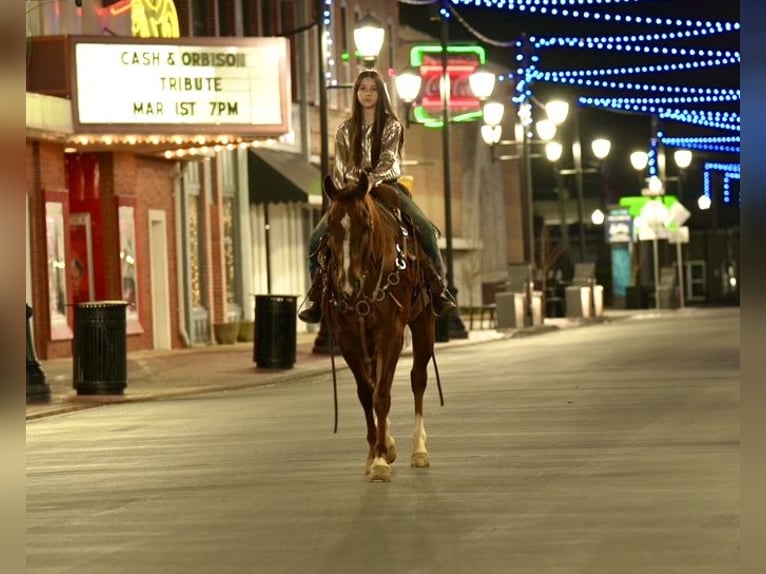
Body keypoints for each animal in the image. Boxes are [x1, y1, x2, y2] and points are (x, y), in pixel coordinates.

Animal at [318, 171, 438, 482]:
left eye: (366, 225)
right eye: (331, 227)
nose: (348, 285)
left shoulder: (390, 333)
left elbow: (382, 395)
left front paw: (381, 461)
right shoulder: (347, 337)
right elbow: (365, 393)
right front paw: (376, 452)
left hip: (423, 326)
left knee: (418, 378)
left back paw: (419, 449)